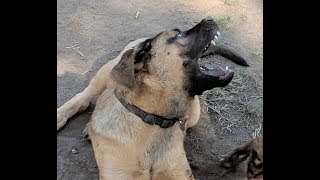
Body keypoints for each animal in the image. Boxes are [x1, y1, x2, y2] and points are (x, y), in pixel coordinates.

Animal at [58, 16, 250, 179]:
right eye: (178, 34)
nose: (209, 18)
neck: (154, 120)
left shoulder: (177, 172)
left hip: (194, 115)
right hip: (106, 74)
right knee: (84, 97)